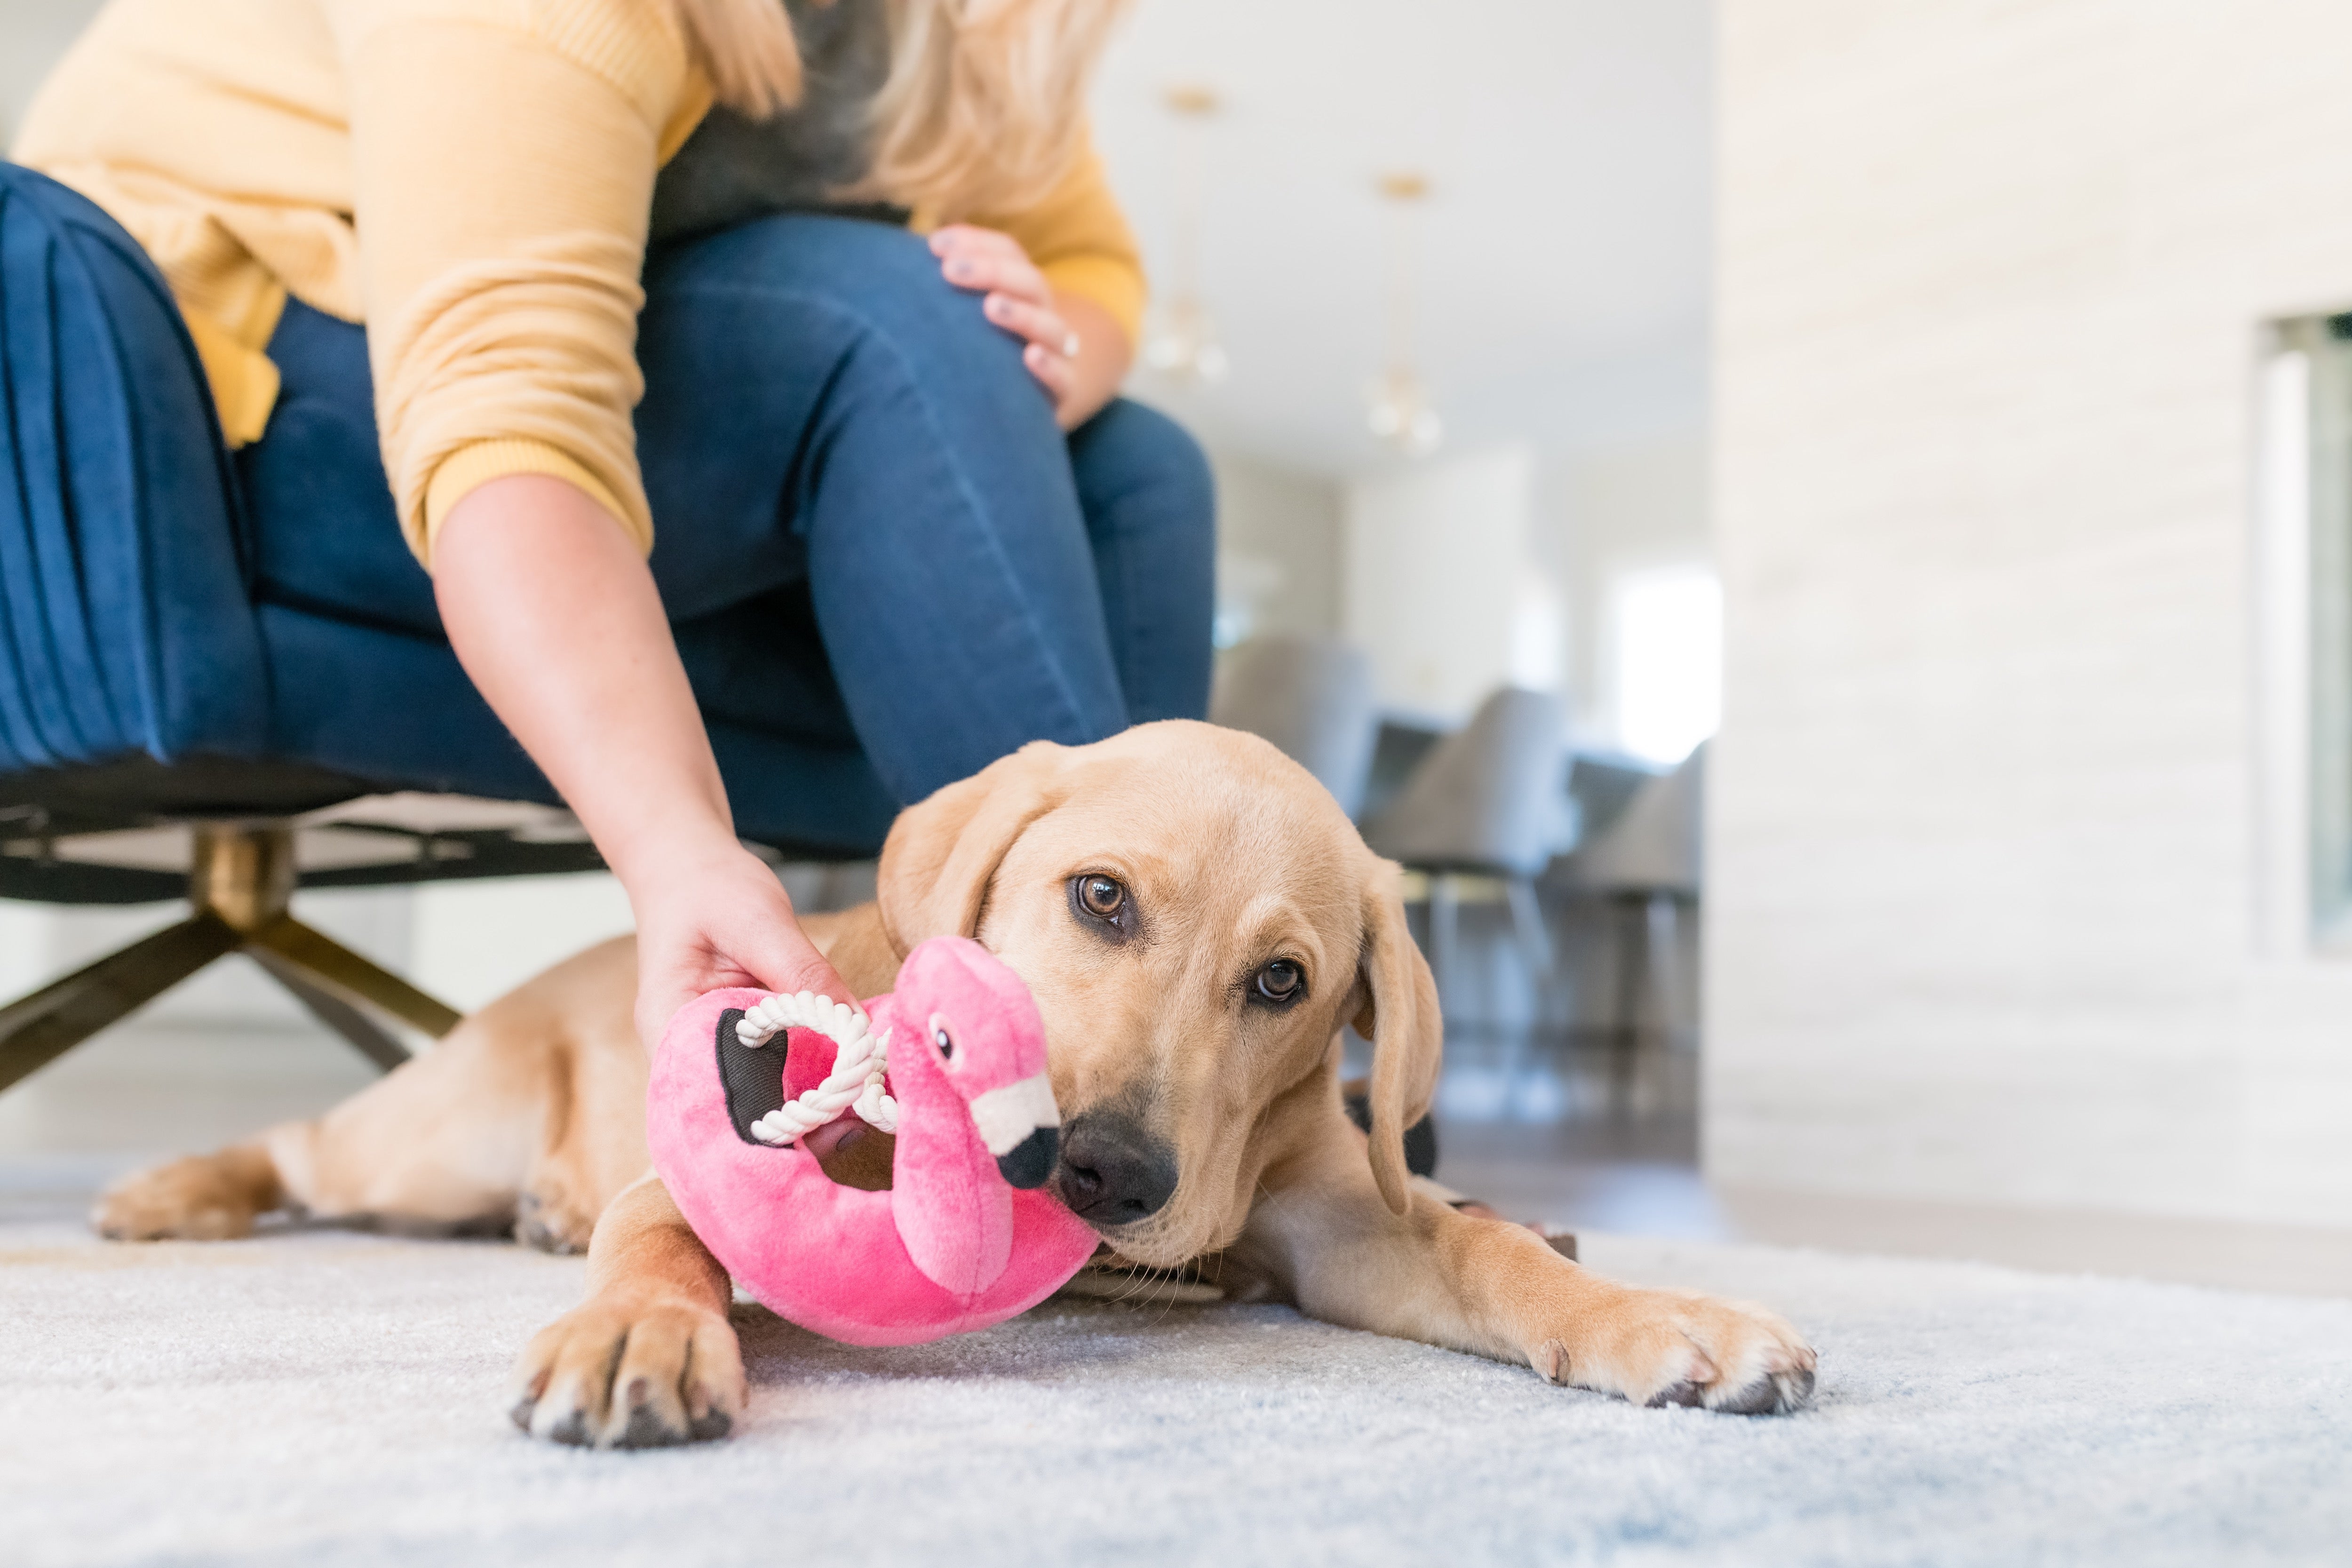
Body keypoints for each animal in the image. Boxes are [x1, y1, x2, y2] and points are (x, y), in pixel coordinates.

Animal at [96, 724, 1816, 1448]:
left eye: (1284, 985)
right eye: (1101, 897)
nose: (1105, 1174)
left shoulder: (1336, 1218)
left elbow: (1478, 1249)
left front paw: (1662, 1315)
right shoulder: (712, 1168)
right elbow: (660, 1238)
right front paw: (638, 1332)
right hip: (431, 1132)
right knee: (306, 1145)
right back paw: (173, 1188)